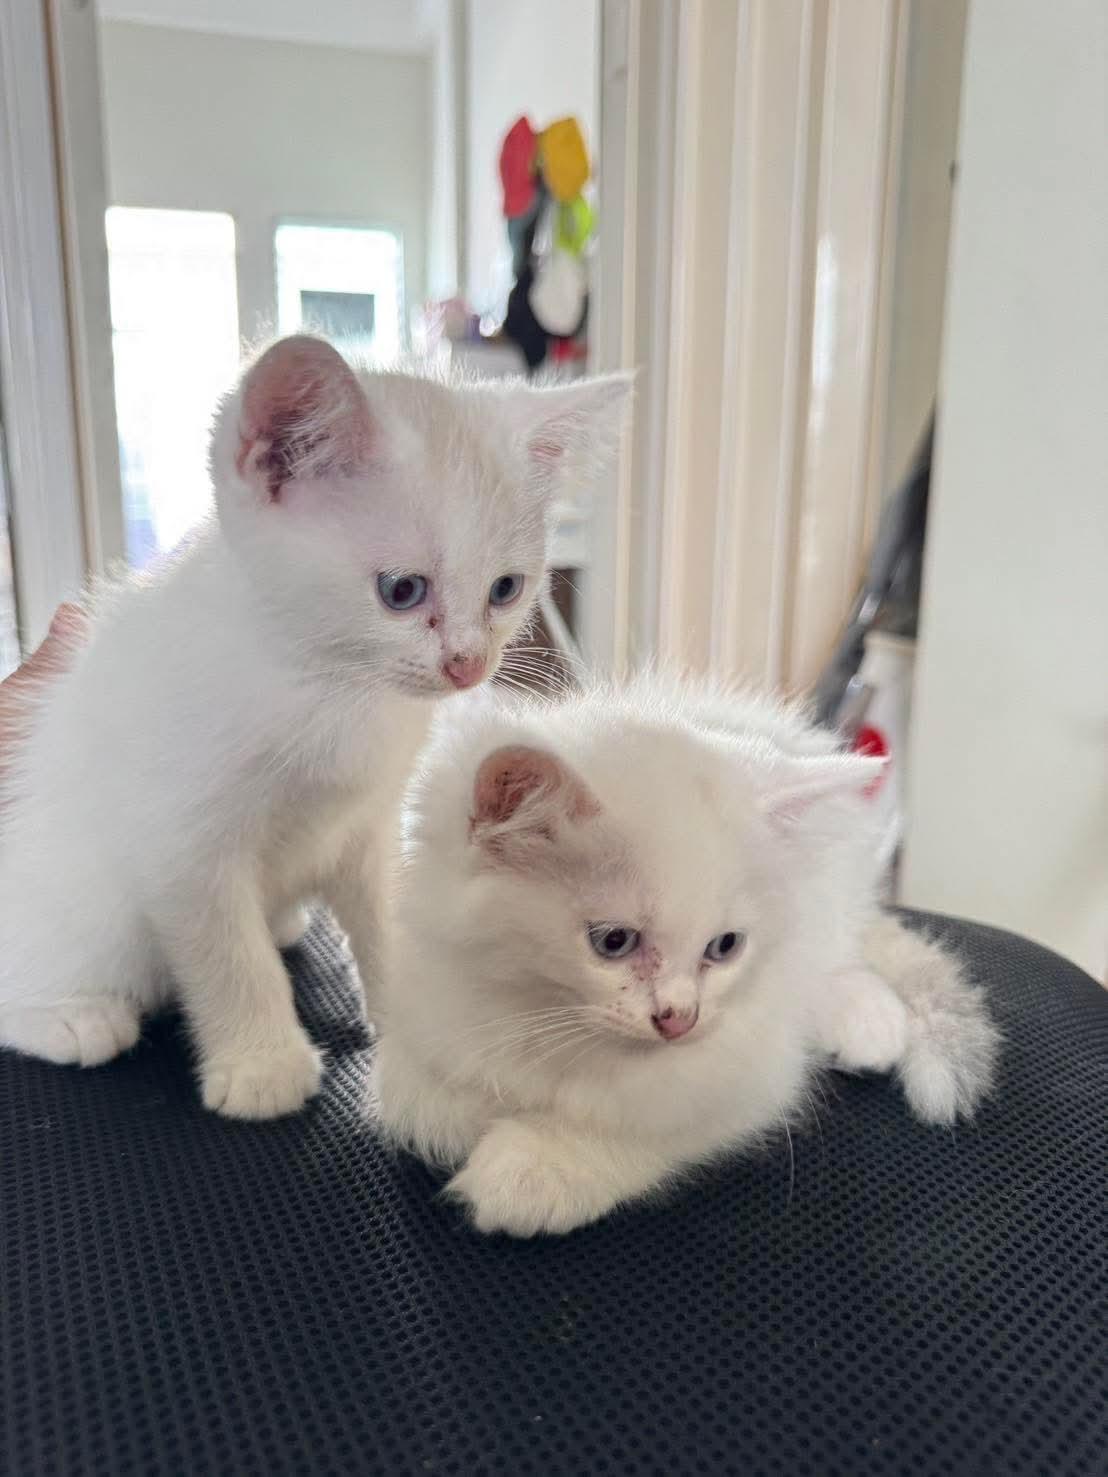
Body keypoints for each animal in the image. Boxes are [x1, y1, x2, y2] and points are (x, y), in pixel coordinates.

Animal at [0, 334, 630, 1119]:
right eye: (402, 591)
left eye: (505, 589)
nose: (467, 666)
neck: (332, 694)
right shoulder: (178, 839)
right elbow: (226, 952)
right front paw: (261, 1062)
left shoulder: (371, 822)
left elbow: (386, 915)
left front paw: (413, 1013)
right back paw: (72, 1016)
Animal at [371, 672, 1001, 1236]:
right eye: (614, 941)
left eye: (723, 946)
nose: (679, 1018)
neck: (543, 1017)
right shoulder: (414, 1009)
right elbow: (424, 1103)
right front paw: (478, 1110)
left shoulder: (745, 1070)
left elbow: (655, 1119)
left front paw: (537, 1169)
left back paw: (865, 1021)